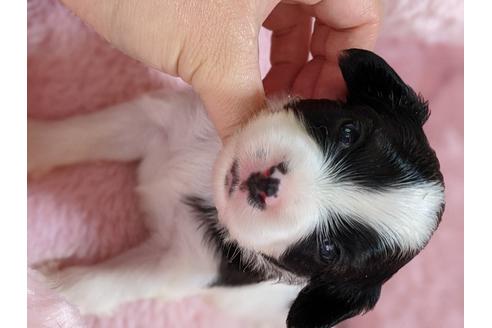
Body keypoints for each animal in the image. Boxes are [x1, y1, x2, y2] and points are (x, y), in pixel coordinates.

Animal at [28, 49, 448, 328]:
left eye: (328, 250)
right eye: (349, 132)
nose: (266, 182)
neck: (206, 177)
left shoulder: (185, 267)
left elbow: (110, 282)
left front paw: (48, 288)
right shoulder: (159, 120)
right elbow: (88, 132)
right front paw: (34, 144)